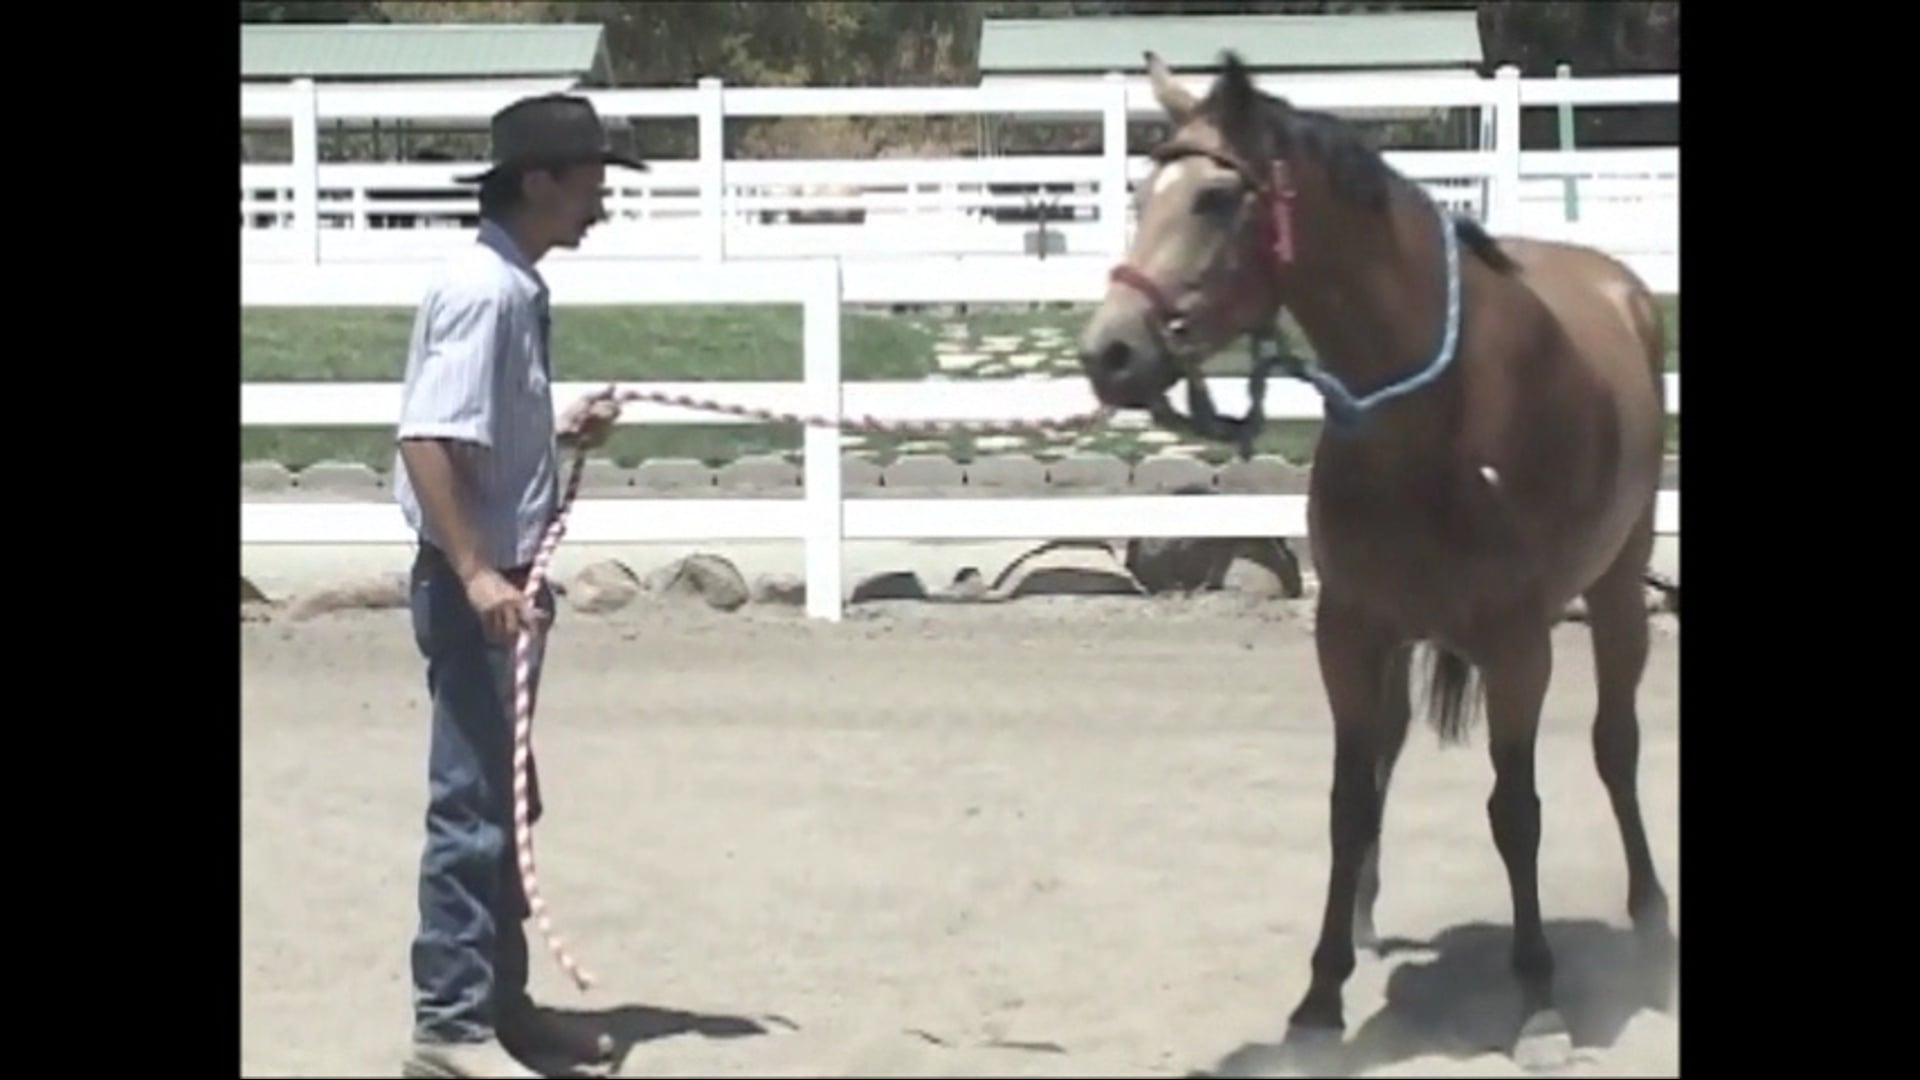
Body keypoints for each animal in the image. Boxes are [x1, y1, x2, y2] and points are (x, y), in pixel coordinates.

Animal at [1077, 51, 1676, 1069]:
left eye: (1215, 200)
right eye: (1140, 193)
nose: (1109, 351)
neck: (1441, 412)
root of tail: (1619, 289)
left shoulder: (1521, 645)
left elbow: (1517, 810)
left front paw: (1540, 1001)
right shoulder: (1351, 630)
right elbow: (1349, 804)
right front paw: (1320, 997)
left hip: (1617, 588)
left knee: (1616, 746)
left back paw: (1651, 920)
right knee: (1392, 757)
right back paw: (1361, 915)